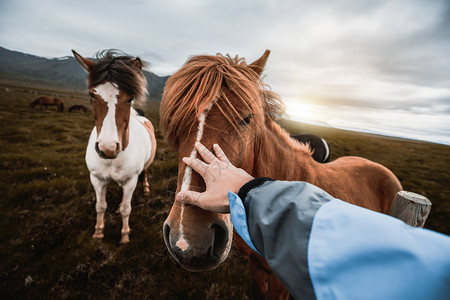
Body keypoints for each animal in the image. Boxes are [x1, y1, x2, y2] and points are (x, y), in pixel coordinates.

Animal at [73, 49, 157, 244]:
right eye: (92, 94)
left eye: (130, 98)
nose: (108, 148)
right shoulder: (96, 179)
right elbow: (100, 206)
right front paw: (98, 232)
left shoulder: (131, 181)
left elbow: (127, 209)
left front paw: (125, 236)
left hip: (146, 166)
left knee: (145, 172)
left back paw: (146, 188)